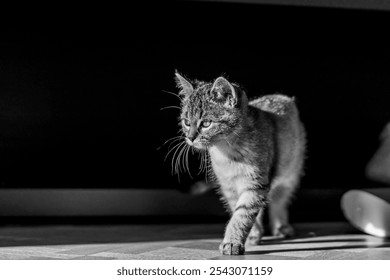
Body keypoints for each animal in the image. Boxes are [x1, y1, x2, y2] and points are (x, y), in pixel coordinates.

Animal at [173, 71, 304, 254]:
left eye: (206, 123)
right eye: (186, 122)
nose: (190, 138)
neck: (226, 154)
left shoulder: (255, 184)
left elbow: (242, 214)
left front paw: (232, 242)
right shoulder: (229, 187)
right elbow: (240, 210)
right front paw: (250, 235)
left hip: (290, 175)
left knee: (280, 198)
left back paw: (281, 227)